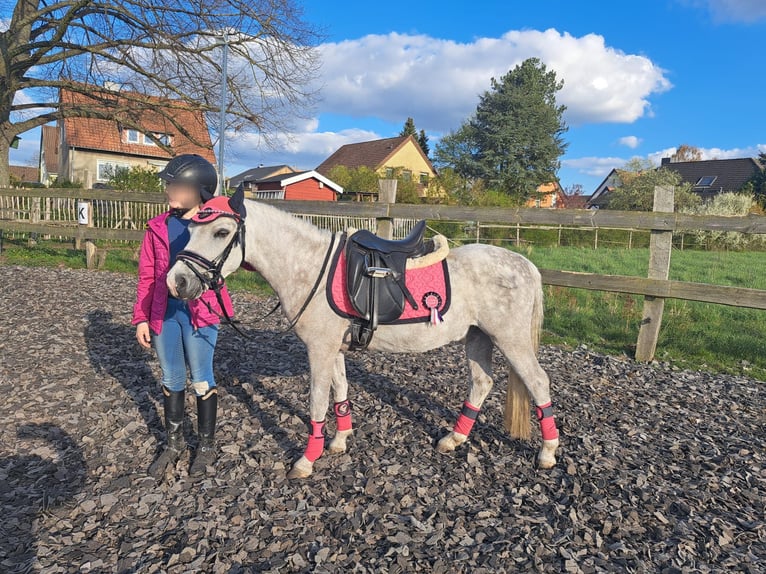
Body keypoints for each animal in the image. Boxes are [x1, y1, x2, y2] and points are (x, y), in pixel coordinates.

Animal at [165, 188, 560, 479]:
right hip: (478, 337)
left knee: (538, 382)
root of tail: (525, 264)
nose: (176, 282)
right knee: (481, 383)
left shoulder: (319, 350)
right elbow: (340, 392)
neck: (310, 267)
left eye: (221, 232)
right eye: (190, 230)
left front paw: (307, 460)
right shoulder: (334, 349)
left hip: (510, 339)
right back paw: (454, 438)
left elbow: (317, 402)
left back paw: (547, 454)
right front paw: (339, 441)